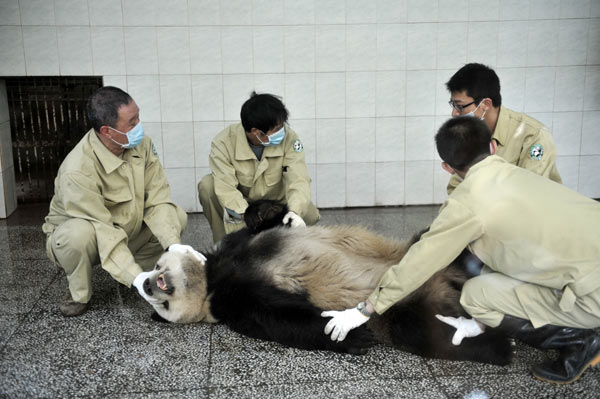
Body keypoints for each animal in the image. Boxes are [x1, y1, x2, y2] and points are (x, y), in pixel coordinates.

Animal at [135, 202, 510, 368]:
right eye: (163, 308)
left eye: (158, 265)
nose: (149, 285)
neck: (212, 276)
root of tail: (449, 283)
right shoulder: (230, 301)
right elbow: (275, 316)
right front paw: (352, 335)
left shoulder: (236, 246)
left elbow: (265, 225)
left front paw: (272, 212)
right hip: (409, 308)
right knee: (420, 330)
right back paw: (492, 341)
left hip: (422, 250)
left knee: (445, 234)